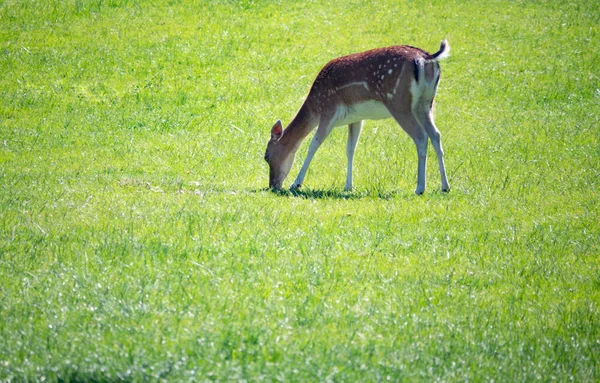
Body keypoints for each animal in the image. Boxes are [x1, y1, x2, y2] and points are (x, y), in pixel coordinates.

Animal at [264, 39, 450, 195]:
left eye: (266, 156)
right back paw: (445, 186)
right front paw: (348, 186)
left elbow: (313, 146)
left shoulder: (328, 111)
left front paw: (296, 183)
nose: (273, 185)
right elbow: (350, 149)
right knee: (436, 134)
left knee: (421, 136)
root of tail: (427, 58)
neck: (315, 107)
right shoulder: (356, 118)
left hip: (398, 102)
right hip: (425, 104)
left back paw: (420, 188)